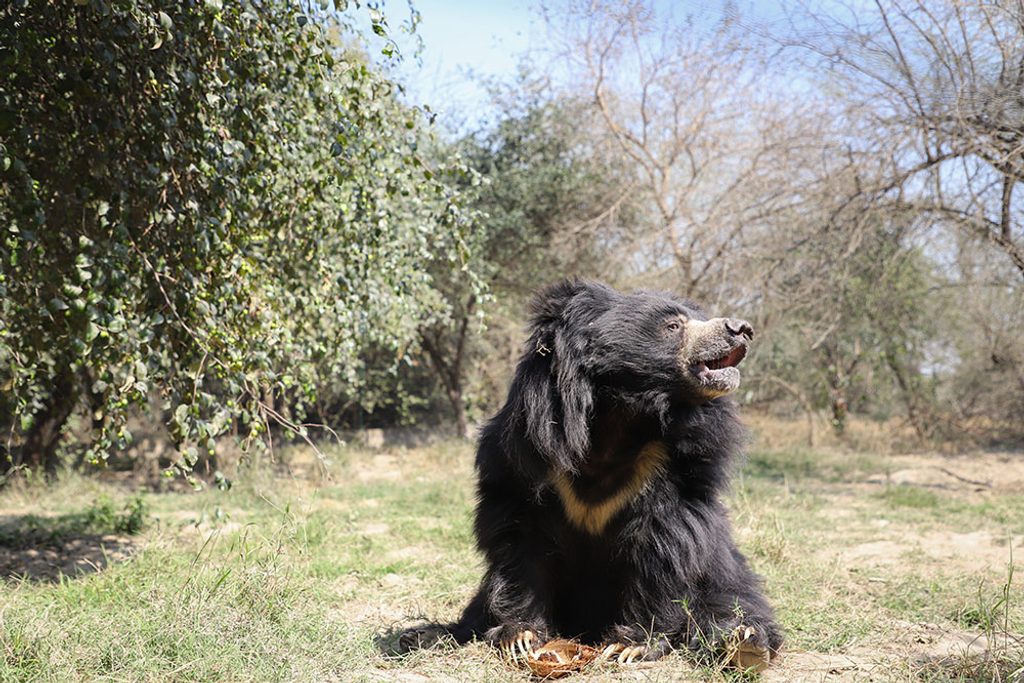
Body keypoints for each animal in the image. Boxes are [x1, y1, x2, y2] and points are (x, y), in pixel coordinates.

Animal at [396, 279, 783, 670]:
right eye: (673, 326)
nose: (741, 328)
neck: (618, 421)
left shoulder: (676, 463)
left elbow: (666, 542)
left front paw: (632, 645)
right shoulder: (525, 454)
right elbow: (519, 538)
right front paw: (520, 635)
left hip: (722, 571)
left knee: (731, 601)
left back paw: (744, 644)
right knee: (477, 607)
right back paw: (423, 635)